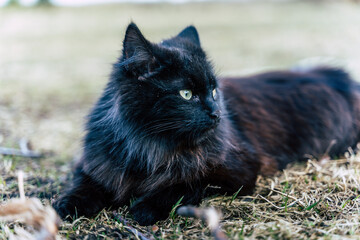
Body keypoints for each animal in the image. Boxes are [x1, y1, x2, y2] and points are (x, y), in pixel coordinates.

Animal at [52, 22, 360, 225]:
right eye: (186, 94)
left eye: (213, 91)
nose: (217, 113)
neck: (149, 147)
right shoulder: (97, 163)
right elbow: (85, 184)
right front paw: (67, 204)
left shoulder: (237, 170)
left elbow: (187, 182)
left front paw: (145, 208)